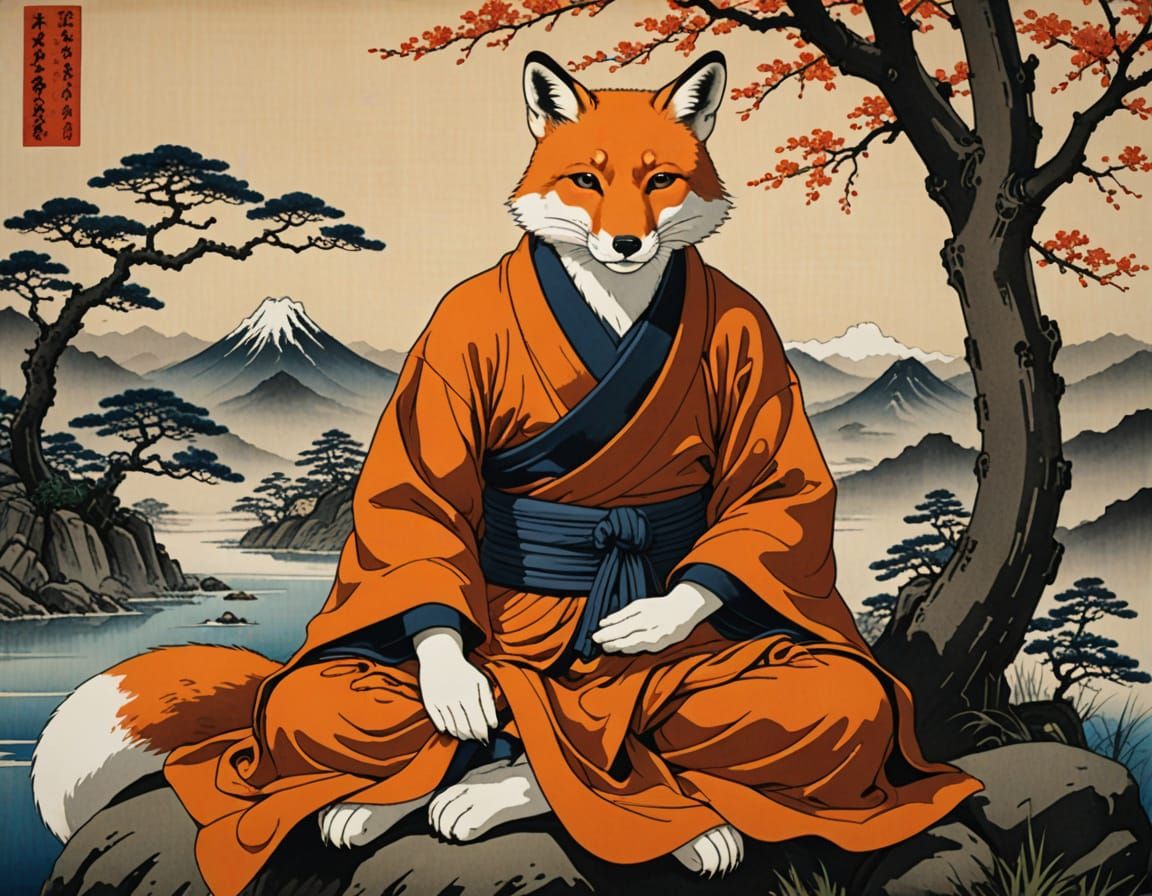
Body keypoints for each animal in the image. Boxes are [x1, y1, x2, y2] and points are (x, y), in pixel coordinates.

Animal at [34, 50, 743, 877]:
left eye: (660, 180)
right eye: (585, 181)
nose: (627, 243)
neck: (618, 297)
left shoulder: (751, 339)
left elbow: (760, 502)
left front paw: (649, 625)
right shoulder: (446, 351)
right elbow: (418, 520)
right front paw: (450, 686)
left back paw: (591, 809)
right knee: (334, 707)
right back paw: (382, 805)